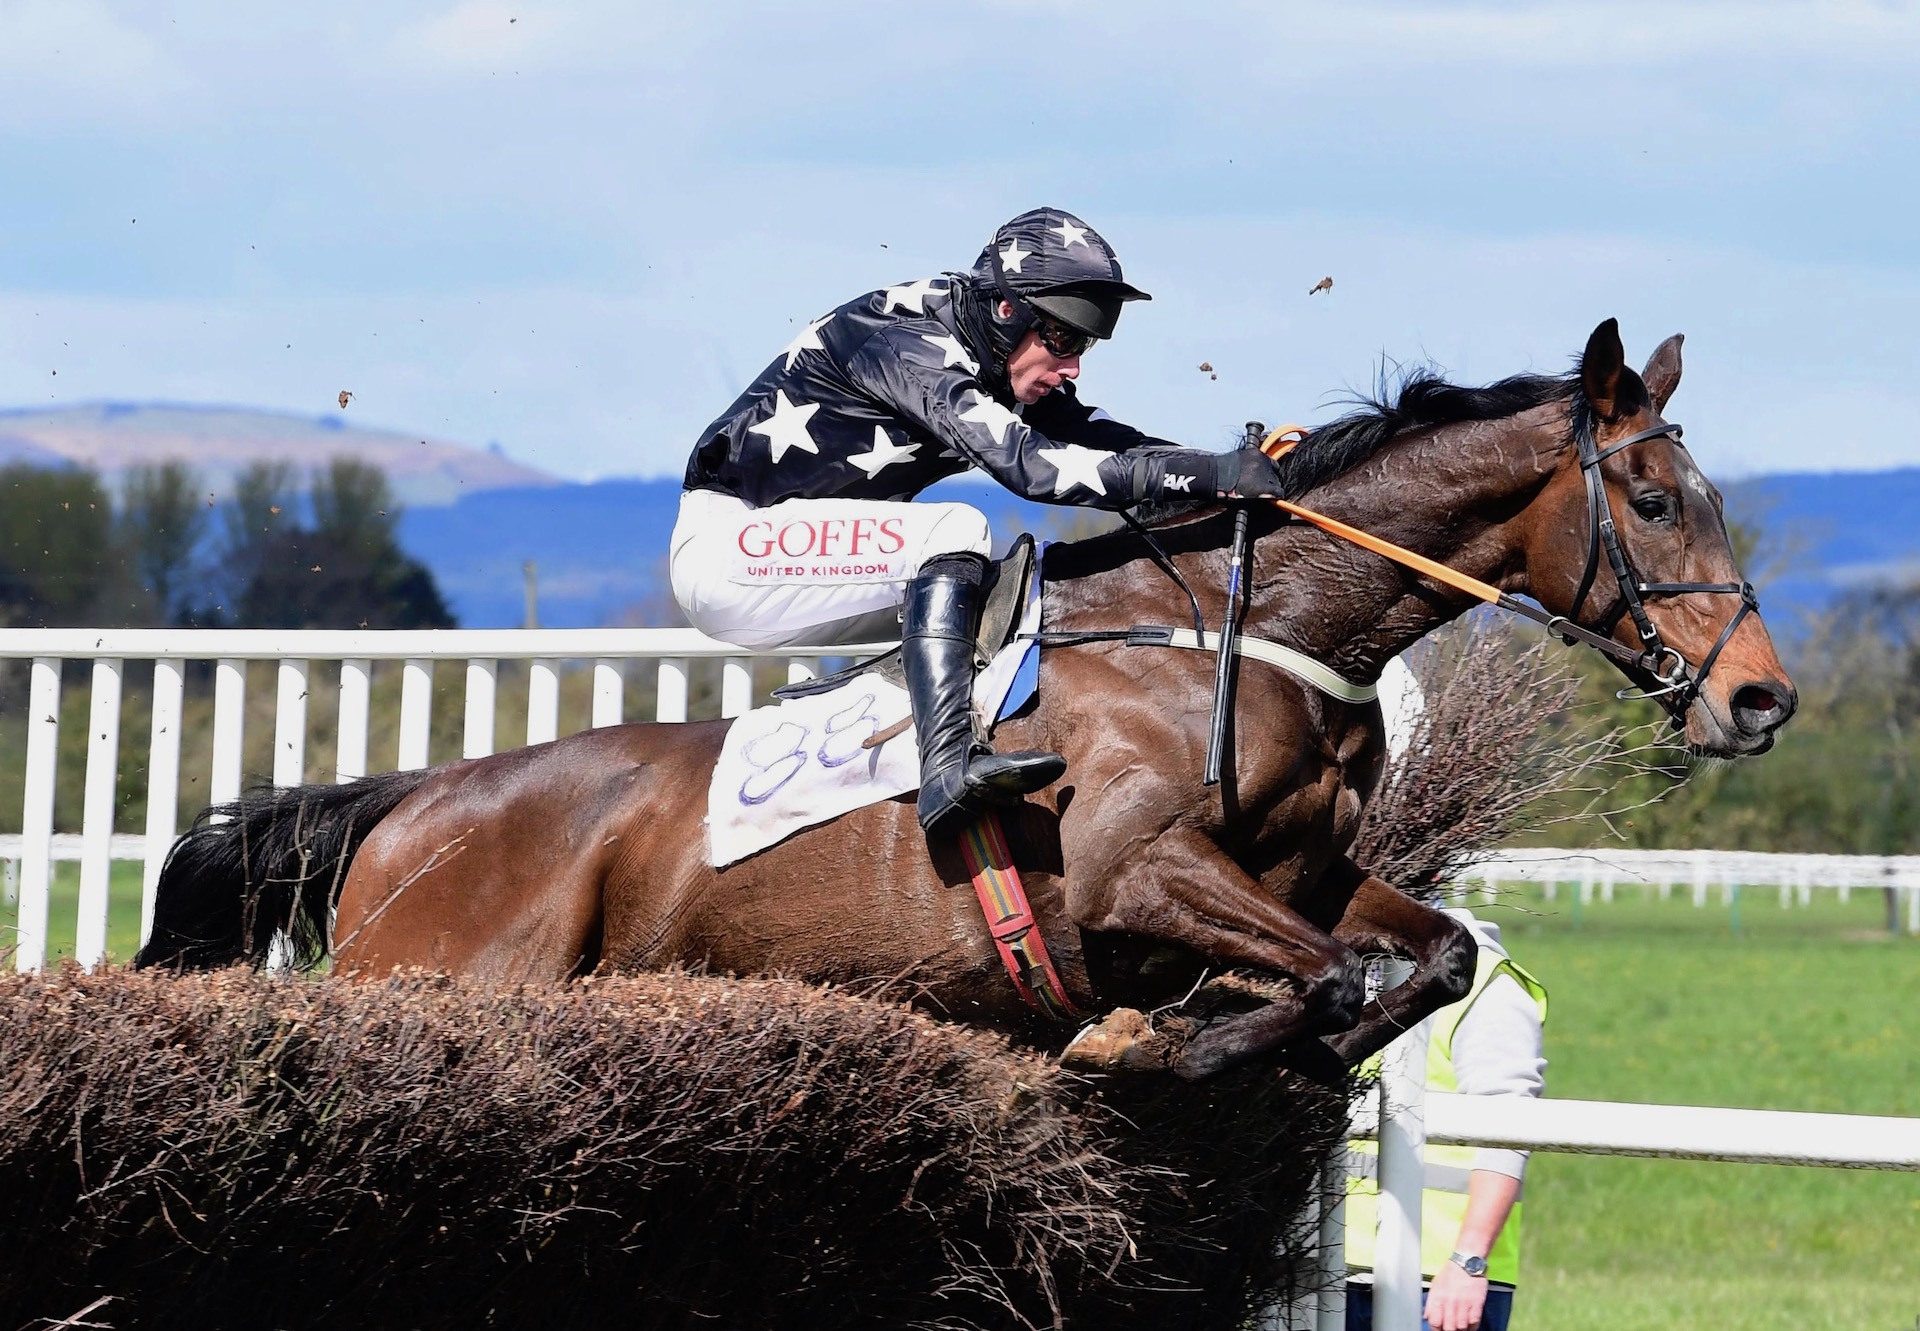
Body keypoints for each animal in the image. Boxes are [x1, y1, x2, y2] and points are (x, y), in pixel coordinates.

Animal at [139, 318, 1797, 1083]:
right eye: (1656, 499)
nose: (1761, 700)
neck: (1250, 634)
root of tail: (407, 803)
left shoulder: (1311, 871)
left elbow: (1427, 956)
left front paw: (1243, 1037)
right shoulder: (1135, 869)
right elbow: (1324, 978)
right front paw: (1155, 1040)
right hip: (440, 979)